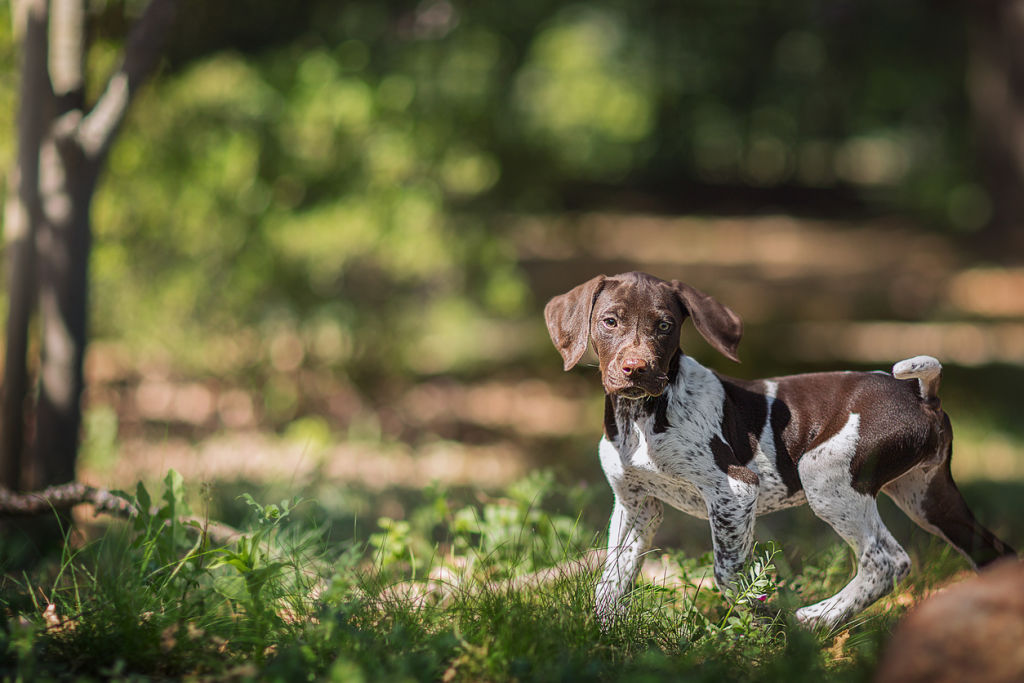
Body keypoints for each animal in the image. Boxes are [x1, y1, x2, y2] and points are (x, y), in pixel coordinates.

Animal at [548, 272, 1011, 630]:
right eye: (610, 321)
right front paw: (604, 633)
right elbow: (612, 579)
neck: (641, 418)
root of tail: (920, 395)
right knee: (992, 551)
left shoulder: (734, 492)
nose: (636, 369)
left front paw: (760, 628)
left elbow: (729, 574)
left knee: (887, 561)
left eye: (665, 326)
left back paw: (817, 619)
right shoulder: (636, 504)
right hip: (927, 495)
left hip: (827, 476)